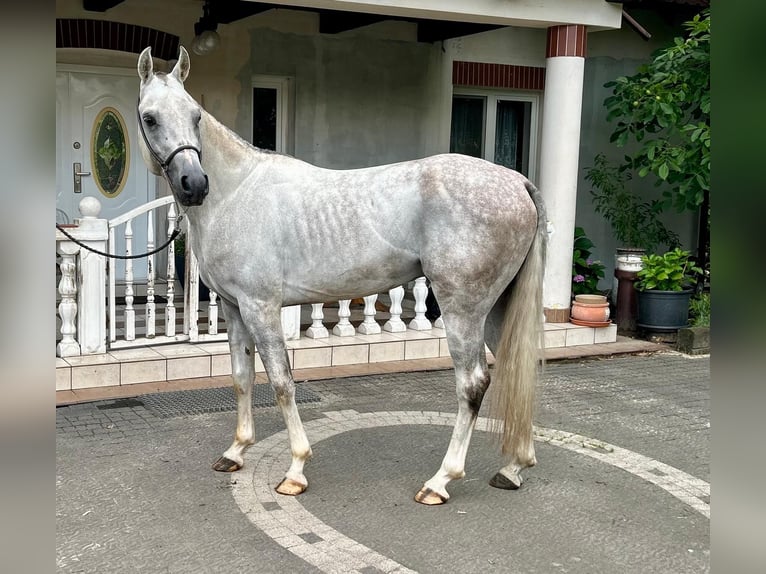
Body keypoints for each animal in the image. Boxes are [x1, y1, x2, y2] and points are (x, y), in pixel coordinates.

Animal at [136, 47, 544, 506]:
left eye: (195, 116)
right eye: (150, 117)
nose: (194, 184)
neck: (237, 193)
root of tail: (517, 182)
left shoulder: (261, 308)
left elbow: (281, 382)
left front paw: (295, 470)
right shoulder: (234, 308)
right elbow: (242, 378)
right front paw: (236, 451)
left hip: (462, 311)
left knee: (472, 383)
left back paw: (440, 481)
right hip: (496, 309)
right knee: (515, 370)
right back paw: (512, 469)